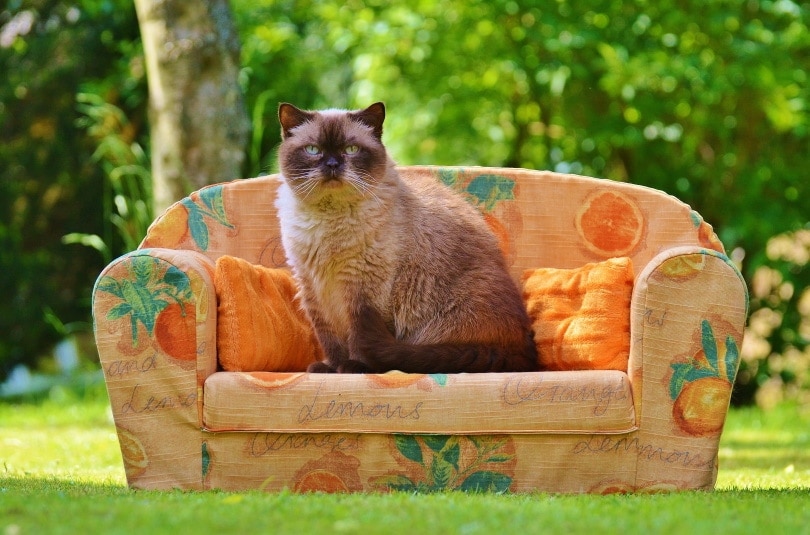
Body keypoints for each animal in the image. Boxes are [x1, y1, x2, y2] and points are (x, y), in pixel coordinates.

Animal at [274, 102, 536, 374]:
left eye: (351, 149)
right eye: (313, 150)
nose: (333, 164)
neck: (329, 222)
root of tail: (524, 352)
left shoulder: (364, 290)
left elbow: (358, 336)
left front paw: (354, 368)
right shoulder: (312, 287)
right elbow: (329, 338)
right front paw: (331, 369)